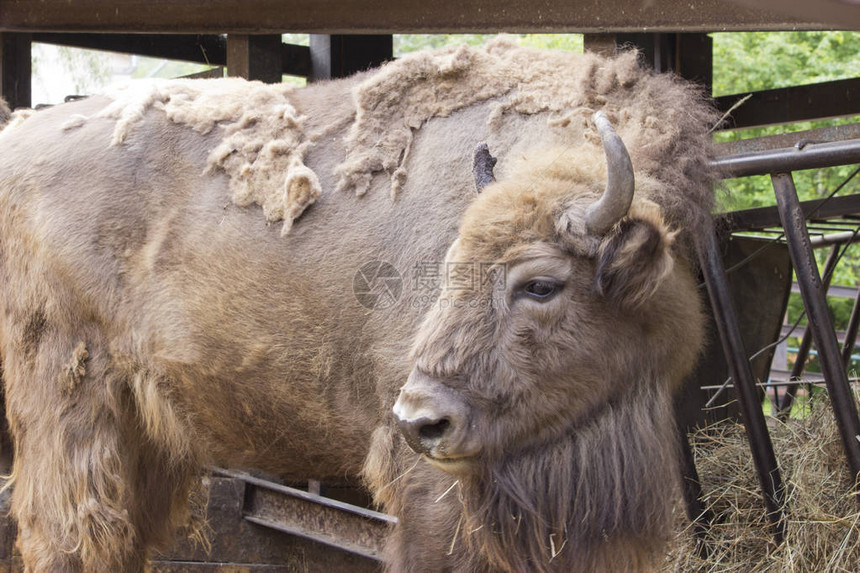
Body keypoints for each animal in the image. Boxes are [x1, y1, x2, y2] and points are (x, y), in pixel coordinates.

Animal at [0, 38, 716, 568]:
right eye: (448, 271)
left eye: (540, 284)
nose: (421, 419)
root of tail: (18, 143)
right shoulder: (434, 490)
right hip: (71, 401)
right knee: (67, 535)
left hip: (146, 431)